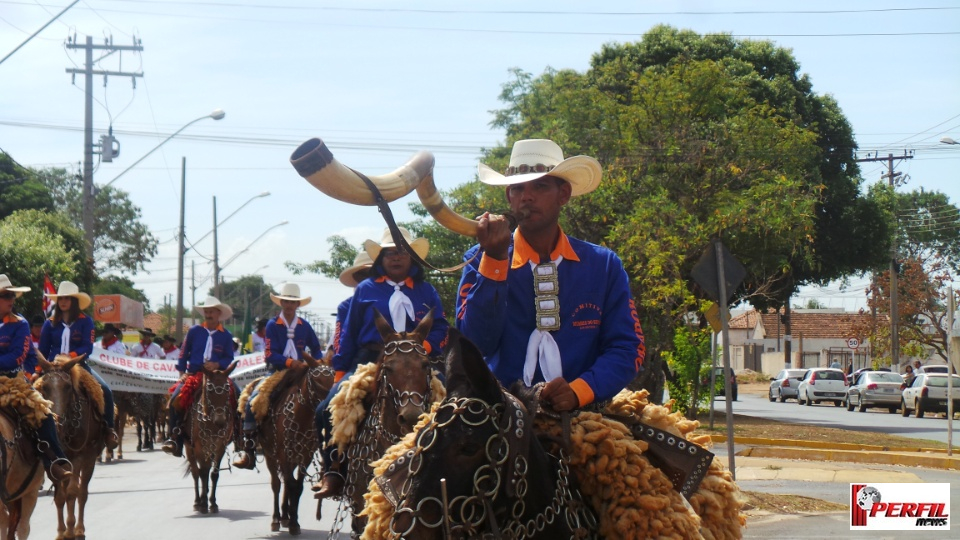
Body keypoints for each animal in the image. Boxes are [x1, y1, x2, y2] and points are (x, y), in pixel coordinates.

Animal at [35, 352, 106, 540]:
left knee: (82, 492)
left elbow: (73, 492)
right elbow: (60, 496)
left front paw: (73, 529)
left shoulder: (81, 456)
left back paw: (78, 529)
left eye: (67, 387)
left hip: (89, 459)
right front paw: (62, 532)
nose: (56, 420)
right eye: (44, 387)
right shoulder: (52, 461)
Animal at [182, 360, 238, 512]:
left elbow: (214, 474)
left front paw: (212, 503)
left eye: (227, 390)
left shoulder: (220, 446)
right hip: (189, 447)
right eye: (210, 390)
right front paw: (203, 503)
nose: (220, 421)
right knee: (196, 472)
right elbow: (202, 472)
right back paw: (198, 501)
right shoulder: (199, 446)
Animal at [256, 350, 336, 536]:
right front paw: (288, 521)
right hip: (270, 453)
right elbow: (288, 483)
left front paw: (294, 521)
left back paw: (285, 516)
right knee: (277, 483)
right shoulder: (283, 453)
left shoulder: (305, 455)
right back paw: (276, 518)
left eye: (333, 376)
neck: (302, 417)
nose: (329, 407)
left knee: (286, 482)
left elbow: (297, 486)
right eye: (316, 381)